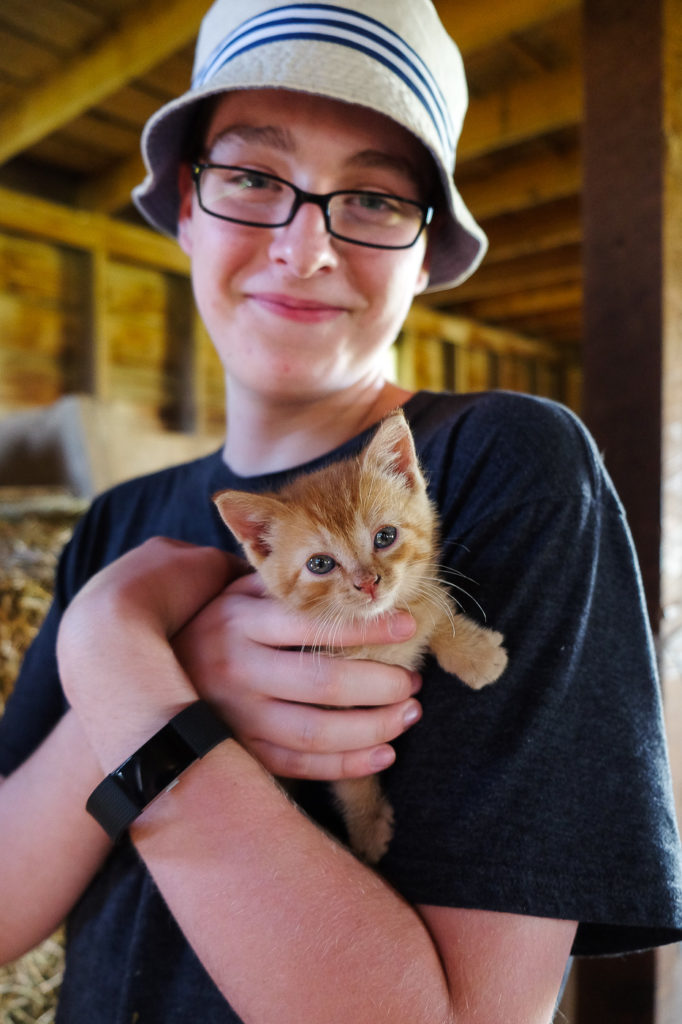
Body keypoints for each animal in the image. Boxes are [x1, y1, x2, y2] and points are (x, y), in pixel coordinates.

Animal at [212, 407, 503, 864]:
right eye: (319, 563)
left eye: (385, 536)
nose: (367, 583)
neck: (375, 637)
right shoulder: (332, 722)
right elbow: (351, 777)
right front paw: (367, 827)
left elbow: (430, 608)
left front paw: (474, 653)